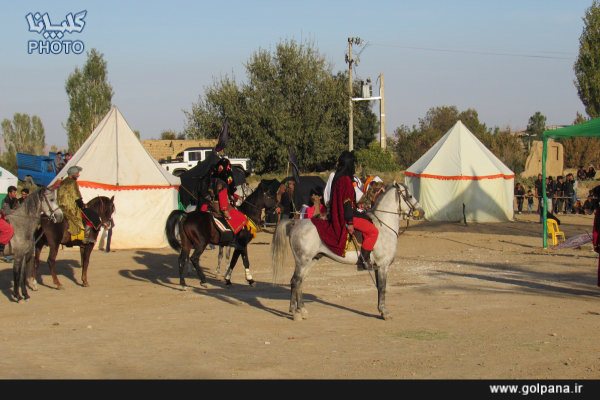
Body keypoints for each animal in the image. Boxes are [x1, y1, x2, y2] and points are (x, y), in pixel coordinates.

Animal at [270, 183, 424, 320]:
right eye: (410, 195)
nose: (422, 212)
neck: (383, 227)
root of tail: (296, 223)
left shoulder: (378, 267)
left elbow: (380, 288)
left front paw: (381, 311)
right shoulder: (383, 266)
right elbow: (382, 288)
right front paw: (384, 312)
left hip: (310, 261)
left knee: (300, 282)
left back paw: (300, 309)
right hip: (303, 261)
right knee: (296, 281)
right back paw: (295, 312)